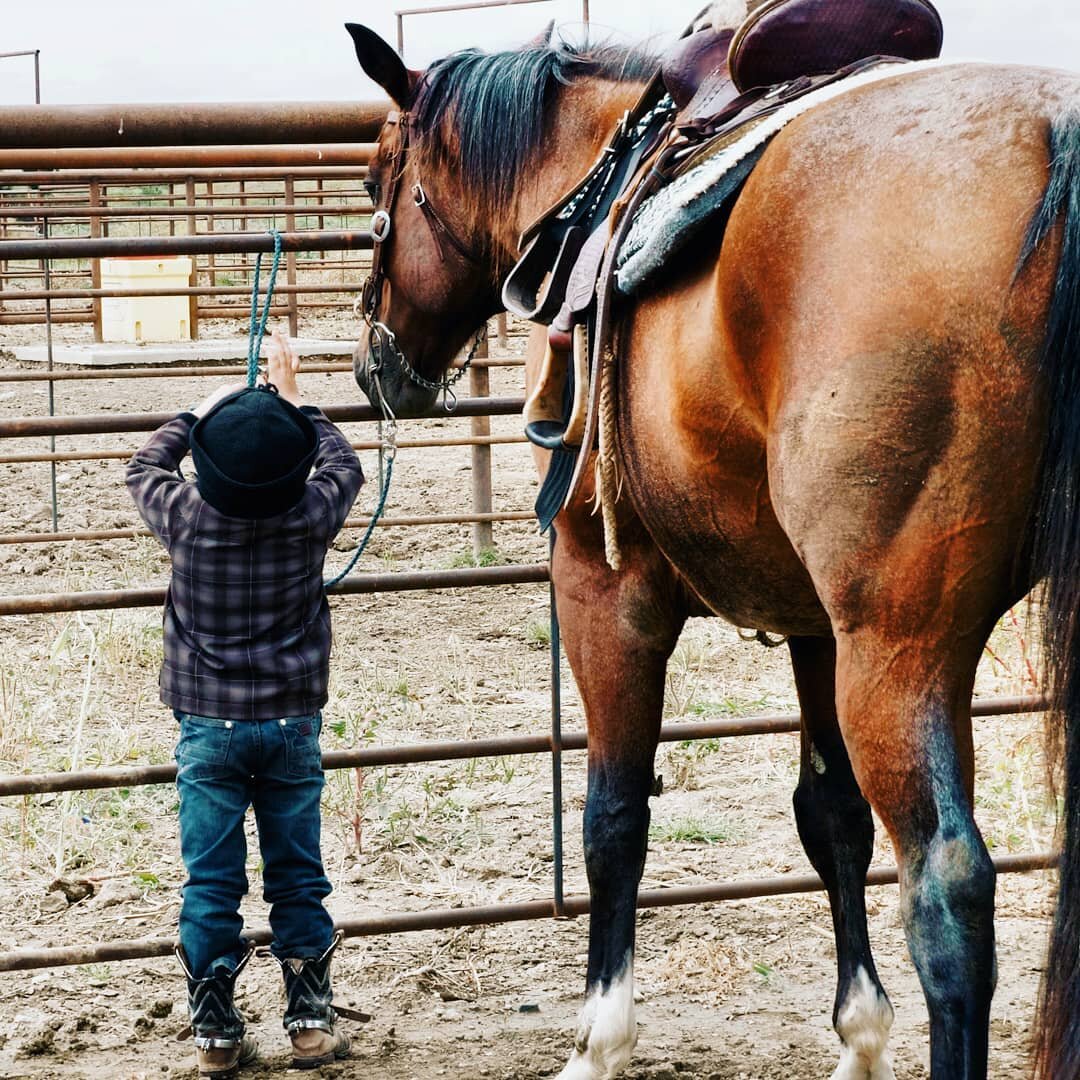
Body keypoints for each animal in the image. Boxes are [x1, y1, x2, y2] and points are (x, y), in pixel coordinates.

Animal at [343, 16, 1080, 1080]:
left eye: (376, 183)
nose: (375, 367)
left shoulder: (605, 588)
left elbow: (613, 817)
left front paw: (600, 1040)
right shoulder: (813, 625)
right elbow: (831, 817)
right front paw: (860, 1039)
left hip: (900, 648)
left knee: (947, 890)